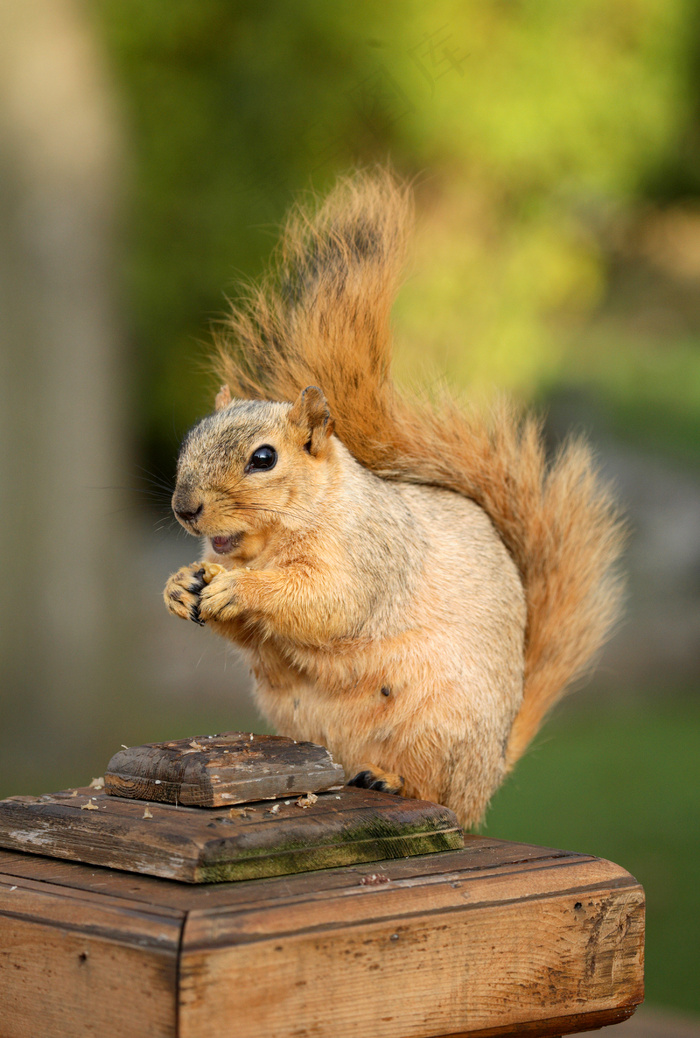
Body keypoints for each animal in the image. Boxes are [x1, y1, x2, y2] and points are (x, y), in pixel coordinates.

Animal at [164, 172, 623, 834]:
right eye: (191, 438)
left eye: (264, 458)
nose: (185, 509)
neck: (277, 537)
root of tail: (495, 764)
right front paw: (182, 585)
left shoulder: (373, 553)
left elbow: (329, 601)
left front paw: (242, 589)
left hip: (440, 725)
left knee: (442, 792)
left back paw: (393, 779)